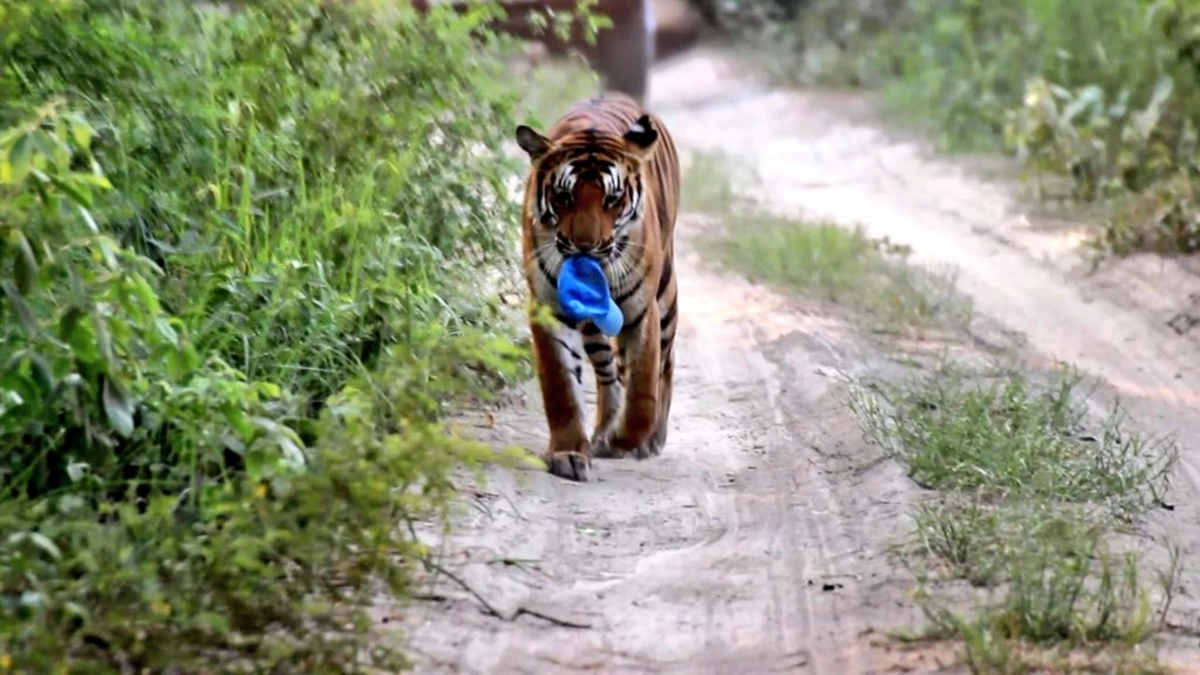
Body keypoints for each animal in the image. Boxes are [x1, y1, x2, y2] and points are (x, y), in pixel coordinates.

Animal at [516, 91, 686, 480]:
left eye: (612, 199)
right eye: (564, 197)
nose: (584, 246)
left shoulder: (641, 312)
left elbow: (643, 394)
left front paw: (626, 439)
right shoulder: (549, 308)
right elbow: (562, 387)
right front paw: (568, 453)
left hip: (666, 296)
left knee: (666, 364)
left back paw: (651, 439)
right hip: (595, 326)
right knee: (609, 374)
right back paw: (603, 431)